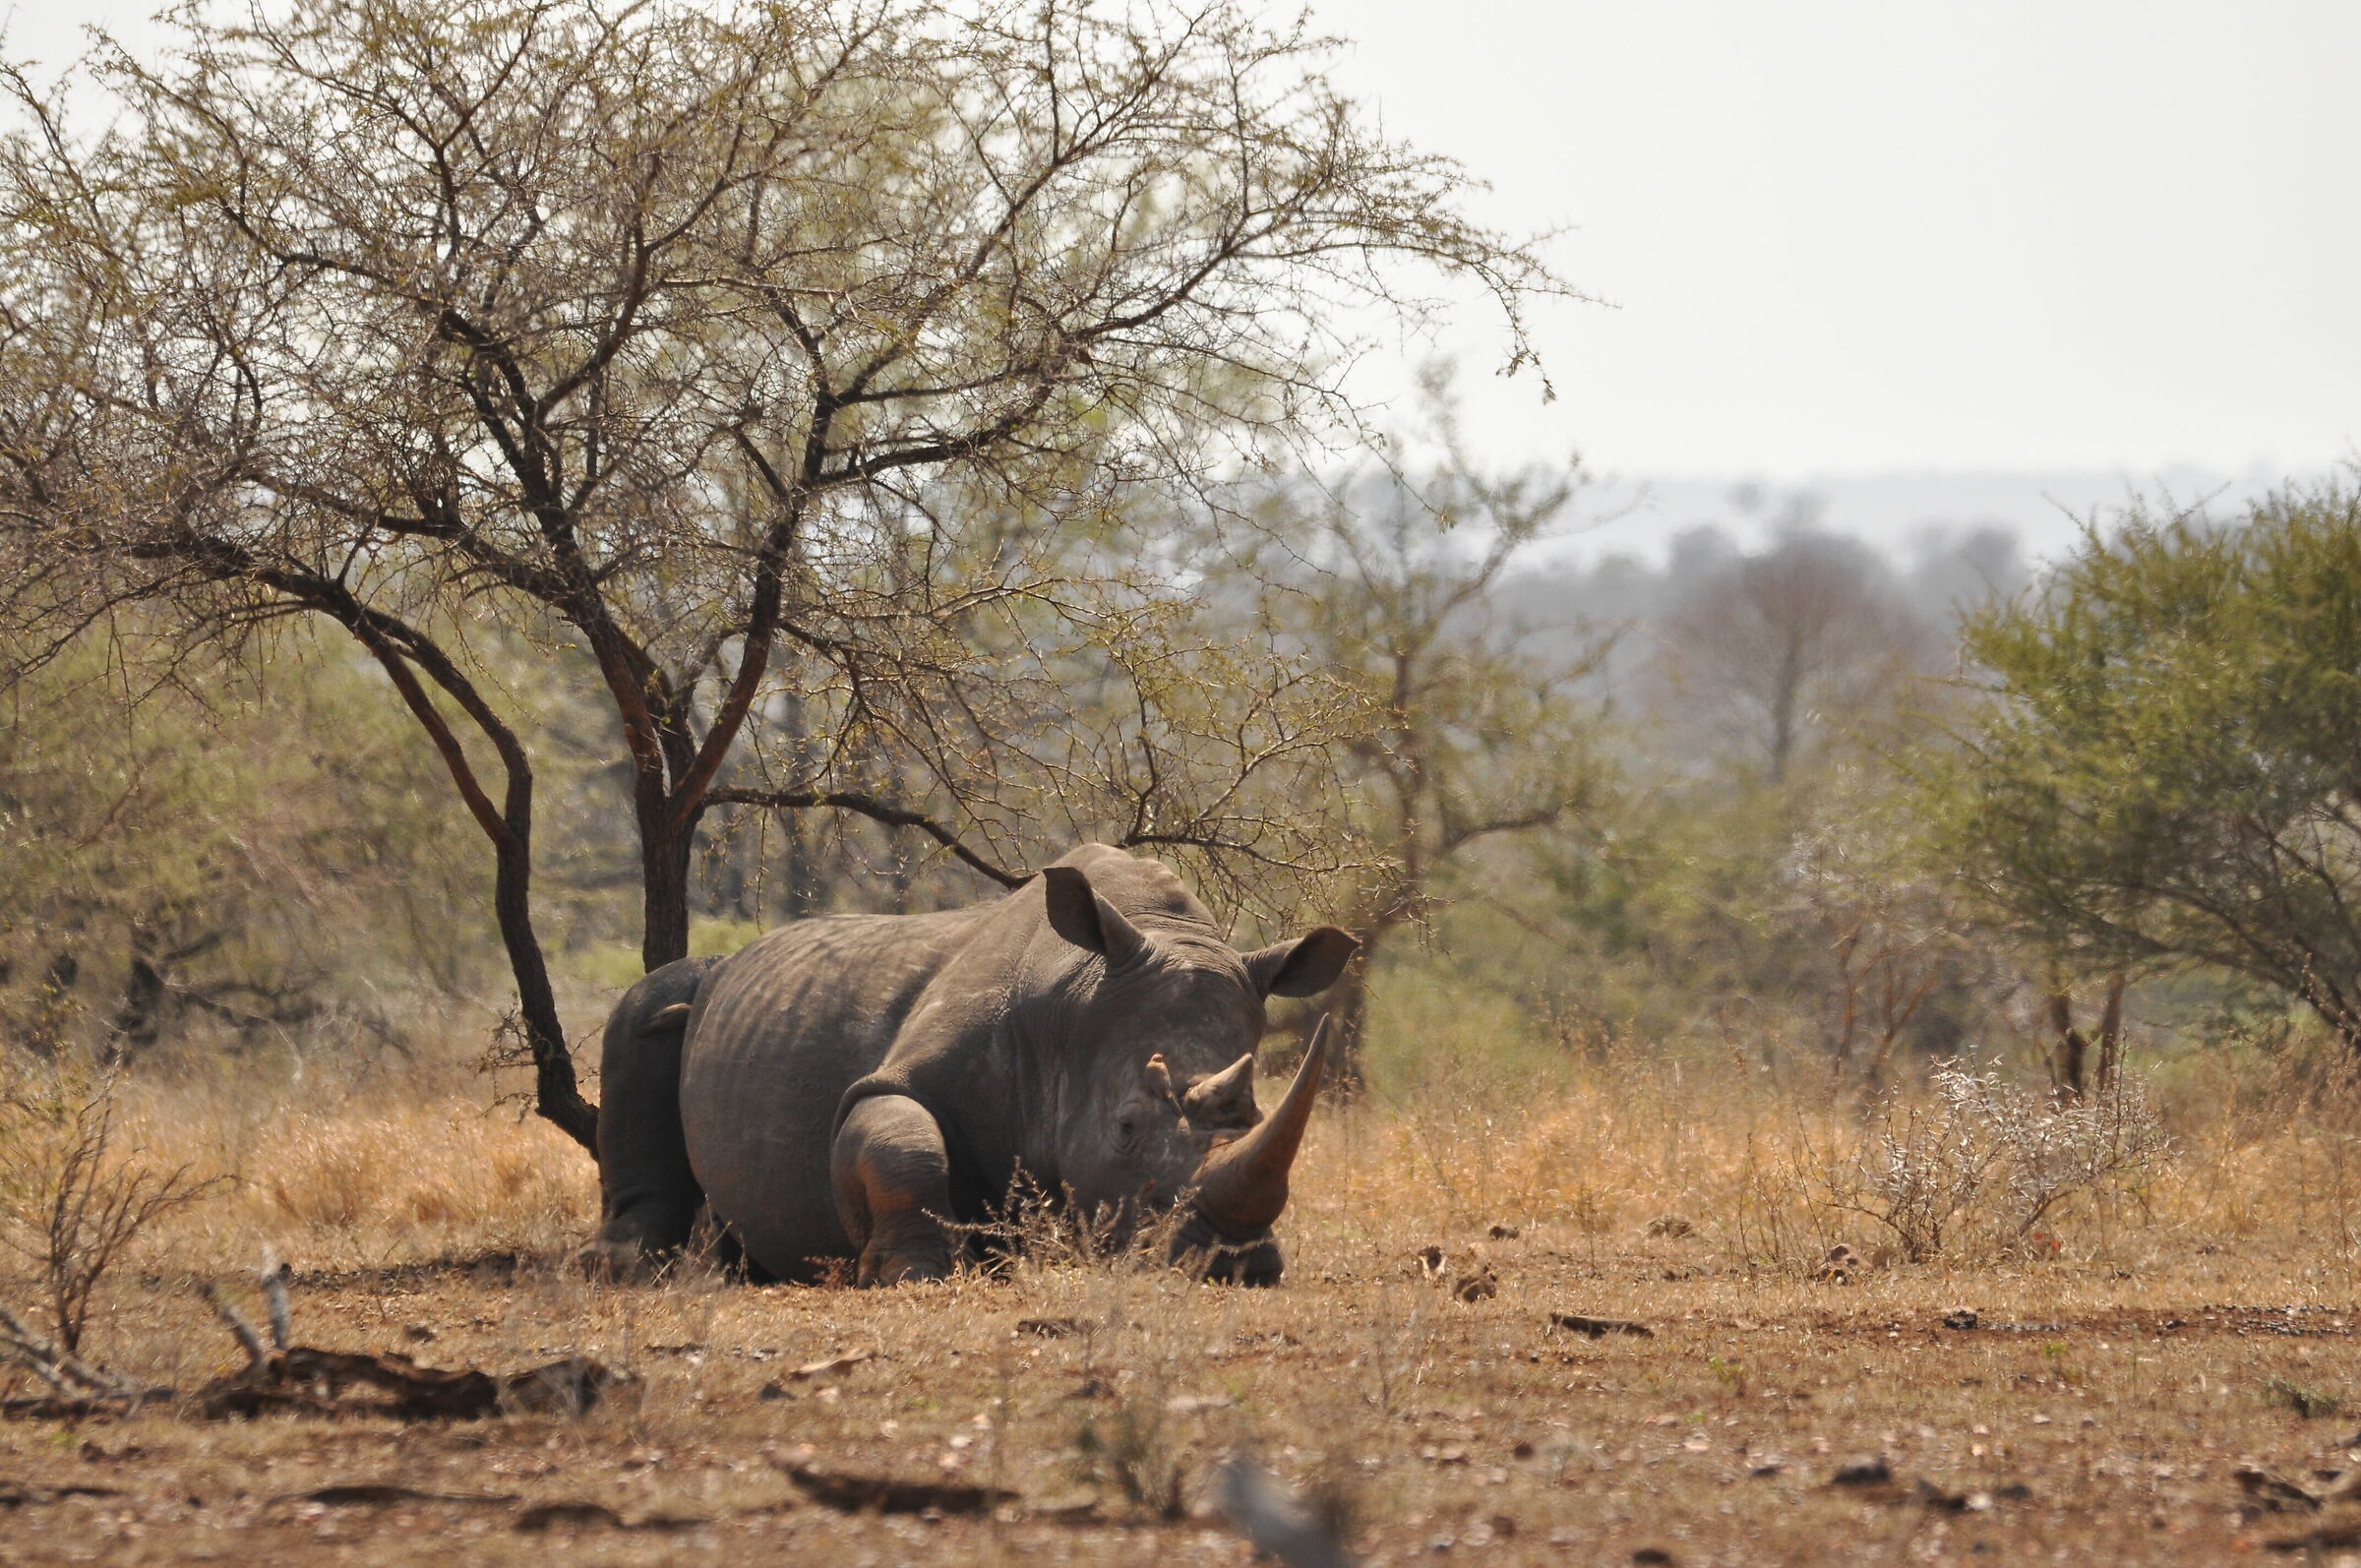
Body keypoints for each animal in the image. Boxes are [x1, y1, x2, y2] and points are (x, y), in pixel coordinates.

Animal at [583, 843, 1356, 1286]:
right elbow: (902, 1139)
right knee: (648, 1008)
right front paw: (910, 1274)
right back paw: (623, 1270)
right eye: (1127, 1127)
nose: (1231, 1264)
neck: (1074, 1003)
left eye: (1254, 1116)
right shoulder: (909, 1074)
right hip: (688, 991)